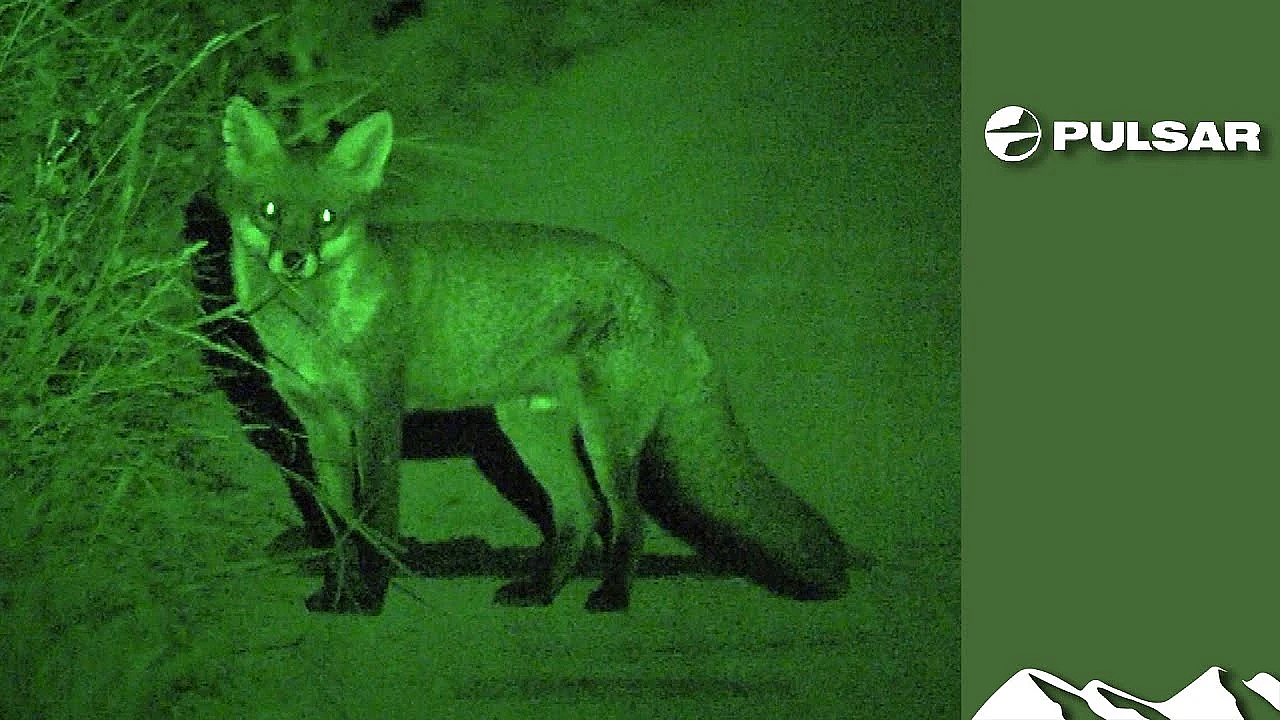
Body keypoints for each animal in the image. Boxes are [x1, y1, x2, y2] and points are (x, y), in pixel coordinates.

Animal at [218, 95, 854, 613]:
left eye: (327, 218)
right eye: (270, 211)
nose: (293, 258)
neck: (313, 328)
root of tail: (662, 286)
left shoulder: (378, 417)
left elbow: (377, 523)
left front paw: (370, 599)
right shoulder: (318, 425)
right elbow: (340, 528)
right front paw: (336, 594)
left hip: (605, 438)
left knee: (627, 520)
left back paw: (612, 596)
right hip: (528, 431)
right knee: (581, 515)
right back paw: (541, 591)